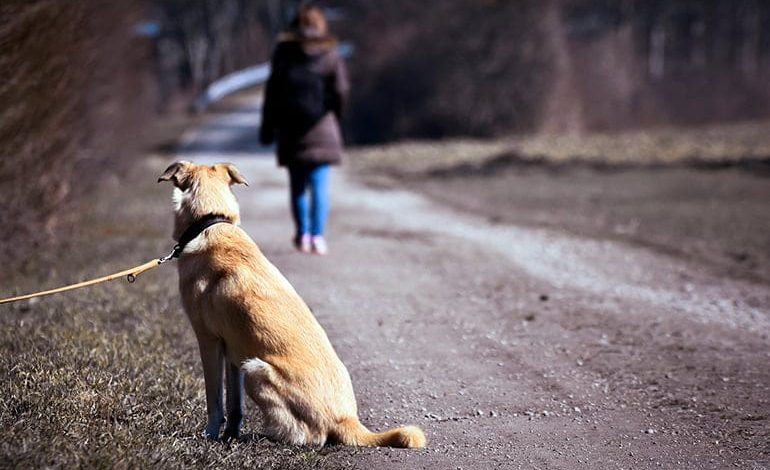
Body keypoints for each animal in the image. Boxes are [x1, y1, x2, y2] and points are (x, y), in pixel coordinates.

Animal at [157, 162, 426, 448]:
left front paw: (210, 436)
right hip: (247, 363)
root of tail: (346, 419)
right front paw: (229, 435)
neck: (211, 221)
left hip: (256, 371)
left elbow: (215, 402)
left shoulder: (208, 341)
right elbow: (234, 406)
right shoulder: (232, 351)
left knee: (309, 436)